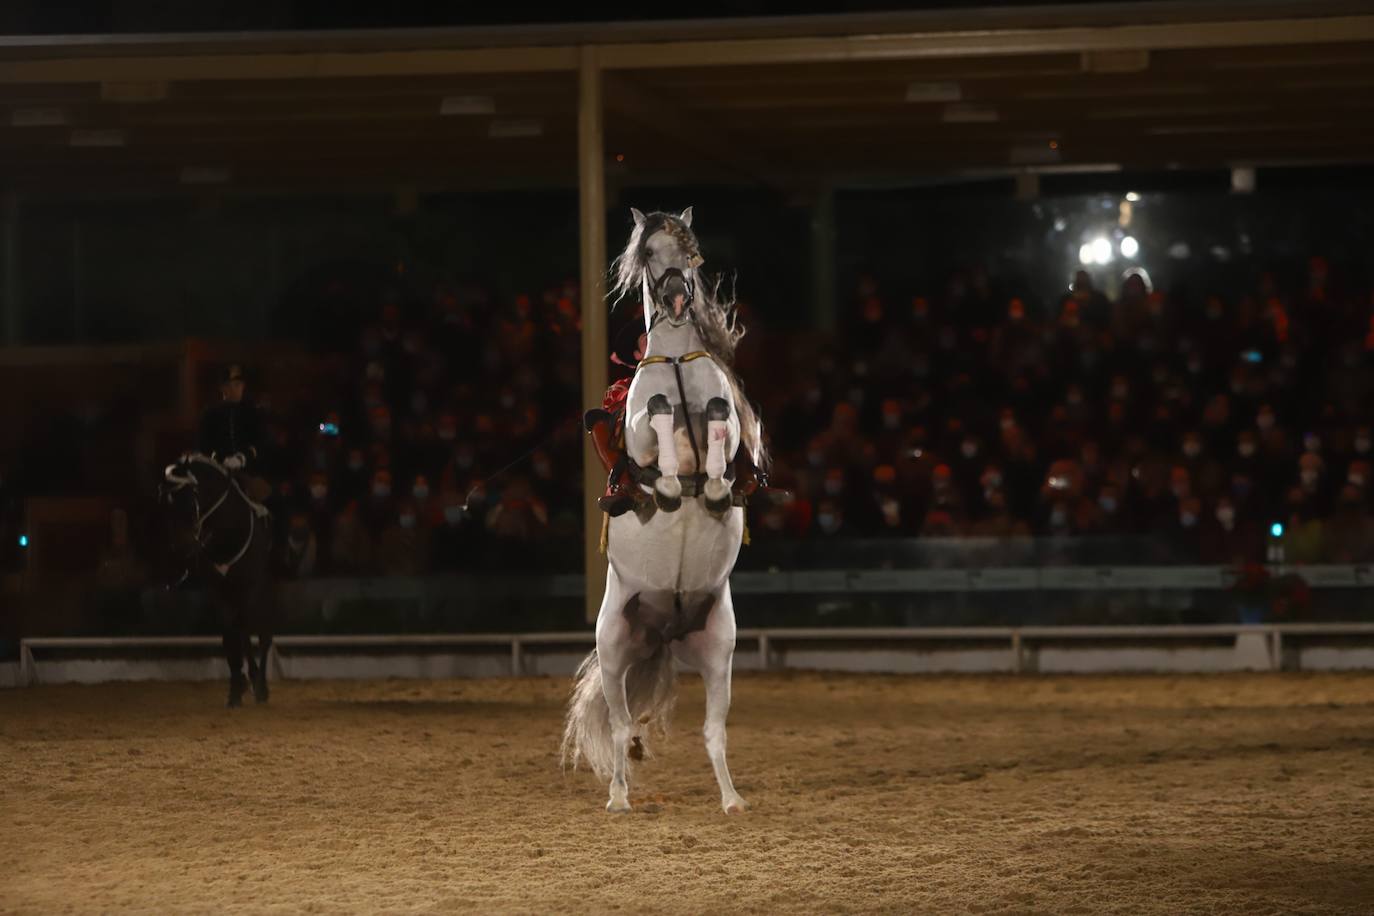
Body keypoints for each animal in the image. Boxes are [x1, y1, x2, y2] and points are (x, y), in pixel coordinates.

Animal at [160, 455, 276, 708]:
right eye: (164, 503)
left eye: (189, 498)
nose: (181, 547)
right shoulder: (217, 591)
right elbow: (229, 635)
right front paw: (236, 688)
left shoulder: (251, 587)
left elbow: (249, 632)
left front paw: (257, 686)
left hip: (260, 590)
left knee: (263, 634)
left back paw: (260, 685)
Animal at [563, 210, 769, 818]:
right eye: (650, 253)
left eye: (692, 251)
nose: (677, 299)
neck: (677, 358)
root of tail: (665, 630)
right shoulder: (637, 433)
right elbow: (654, 419)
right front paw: (676, 481)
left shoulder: (724, 415)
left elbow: (721, 420)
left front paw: (719, 484)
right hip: (613, 651)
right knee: (620, 726)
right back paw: (618, 798)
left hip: (719, 651)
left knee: (713, 732)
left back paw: (731, 799)